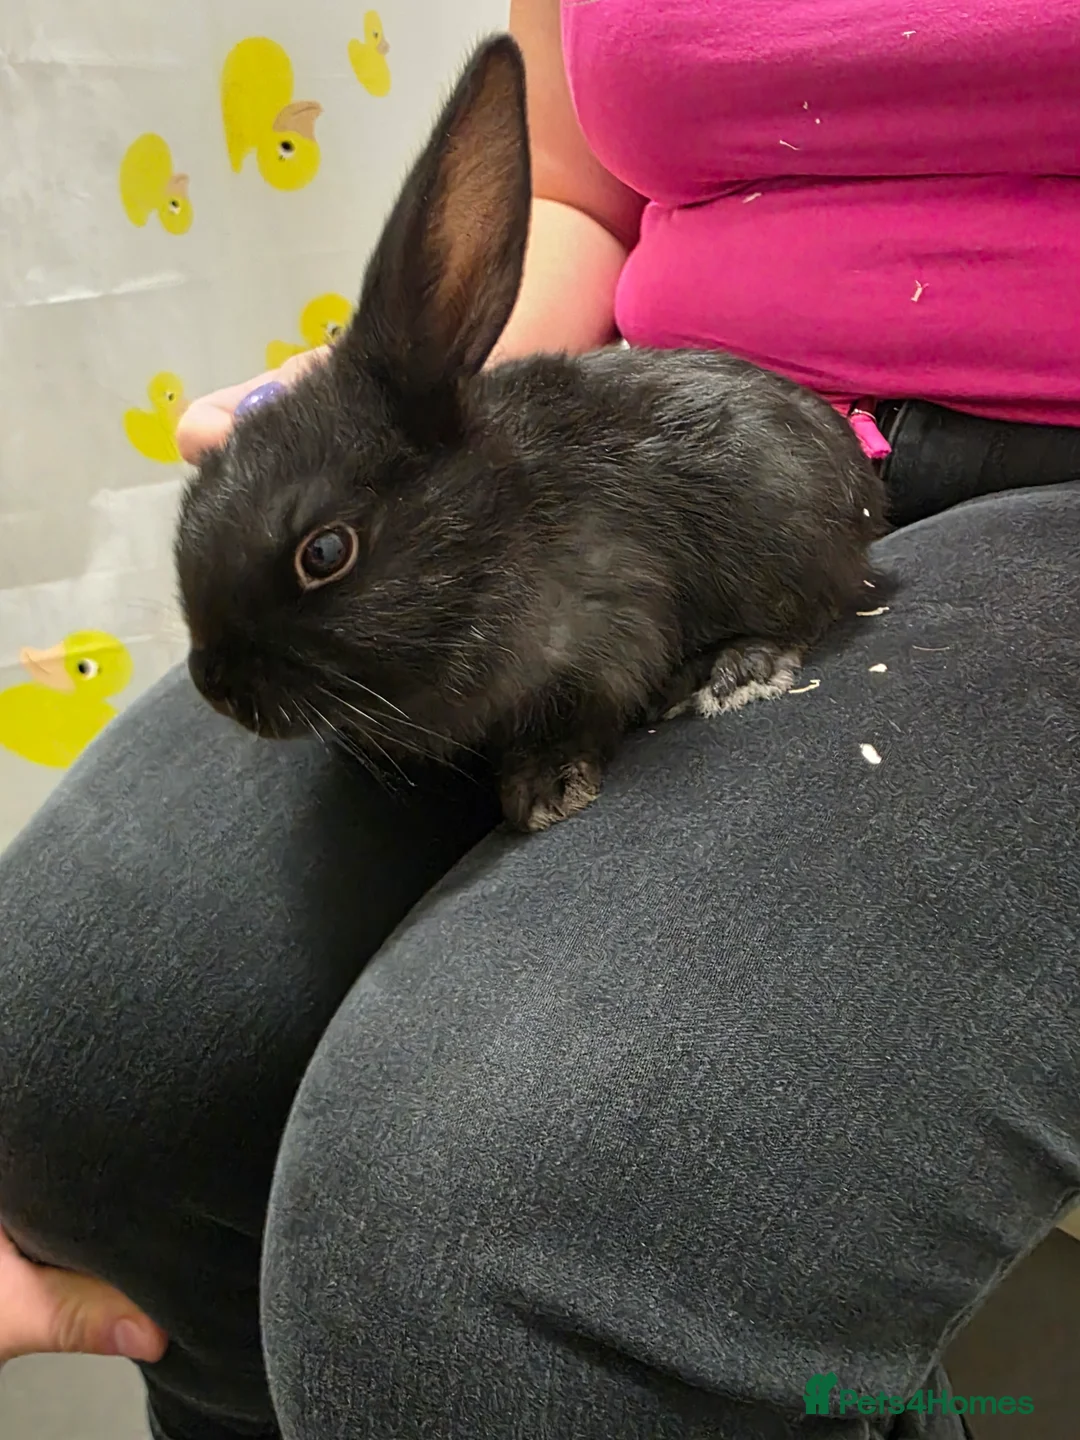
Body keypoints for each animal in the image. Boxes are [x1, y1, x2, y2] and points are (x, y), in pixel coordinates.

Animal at [176, 34, 888, 833]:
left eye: (324, 553)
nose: (214, 685)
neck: (488, 538)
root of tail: (864, 490)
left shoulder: (603, 636)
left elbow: (583, 709)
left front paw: (544, 789)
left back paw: (739, 670)